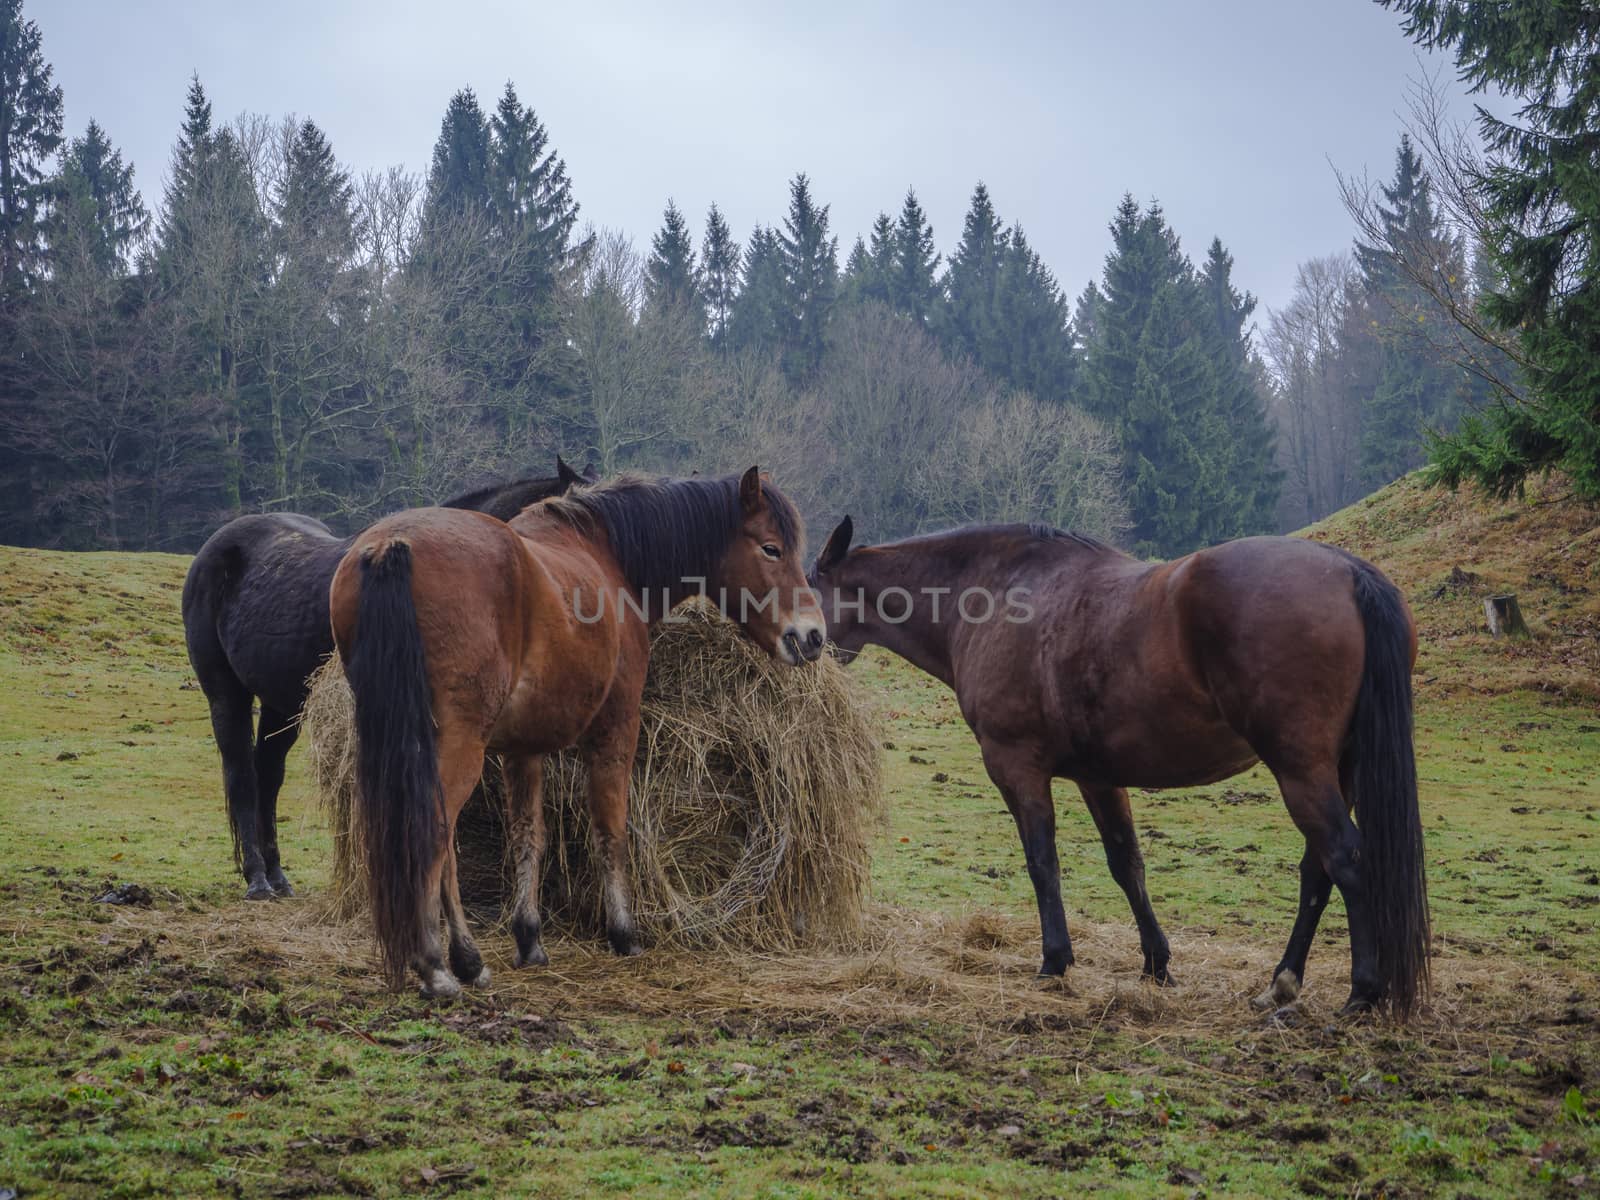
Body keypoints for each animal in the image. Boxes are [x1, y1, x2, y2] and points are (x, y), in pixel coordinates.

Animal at [181, 460, 595, 902]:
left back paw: (277, 876)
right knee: (241, 774)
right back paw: (257, 878)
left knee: (268, 774)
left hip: (282, 705)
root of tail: (215, 549)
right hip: (227, 694)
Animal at [326, 470, 825, 998]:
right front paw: (623, 932)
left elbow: (528, 834)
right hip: (460, 743)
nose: (812, 636)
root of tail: (391, 545)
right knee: (435, 833)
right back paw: (438, 963)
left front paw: (528, 938)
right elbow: (610, 827)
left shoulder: (523, 749)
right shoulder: (616, 727)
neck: (607, 554)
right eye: (771, 548)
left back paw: (463, 959)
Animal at [812, 521, 1427, 1017]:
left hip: (1301, 771)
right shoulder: (1100, 778)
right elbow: (1126, 864)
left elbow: (1042, 862)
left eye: (807, 584)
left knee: (1345, 859)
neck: (994, 593)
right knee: (1316, 870)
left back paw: (1362, 991)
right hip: (1336, 770)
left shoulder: (1017, 767)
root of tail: (1349, 572)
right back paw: (1282, 982)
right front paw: (1156, 963)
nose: (801, 644)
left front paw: (1055, 961)